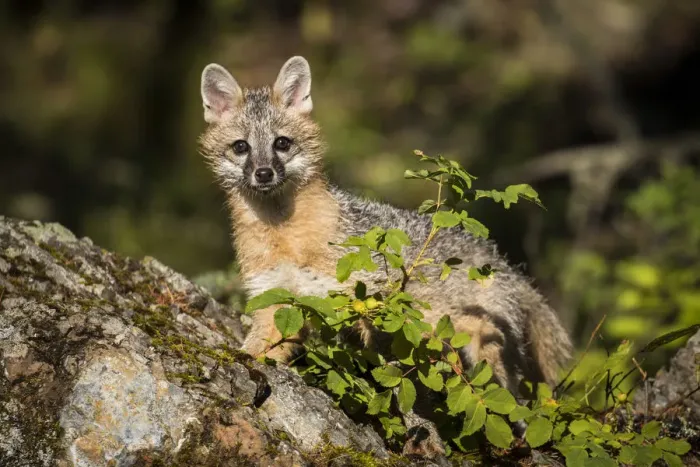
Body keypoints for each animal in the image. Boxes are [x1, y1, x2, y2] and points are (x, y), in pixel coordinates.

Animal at [197, 56, 573, 397]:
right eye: (241, 147)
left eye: (281, 143)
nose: (263, 173)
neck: (287, 240)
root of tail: (504, 262)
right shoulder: (276, 298)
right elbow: (260, 347)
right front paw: (243, 362)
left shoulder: (368, 293)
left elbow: (378, 347)